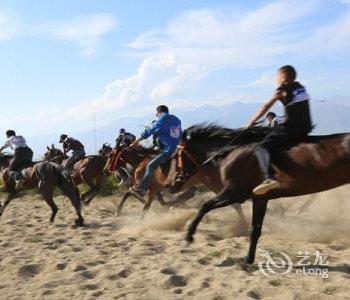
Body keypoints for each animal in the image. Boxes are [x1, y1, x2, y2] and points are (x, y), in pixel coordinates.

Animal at [170, 124, 350, 264]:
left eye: (176, 156)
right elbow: (255, 230)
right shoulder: (259, 199)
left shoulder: (234, 193)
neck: (231, 153)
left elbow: (204, 206)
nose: (172, 185)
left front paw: (188, 238)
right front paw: (248, 259)